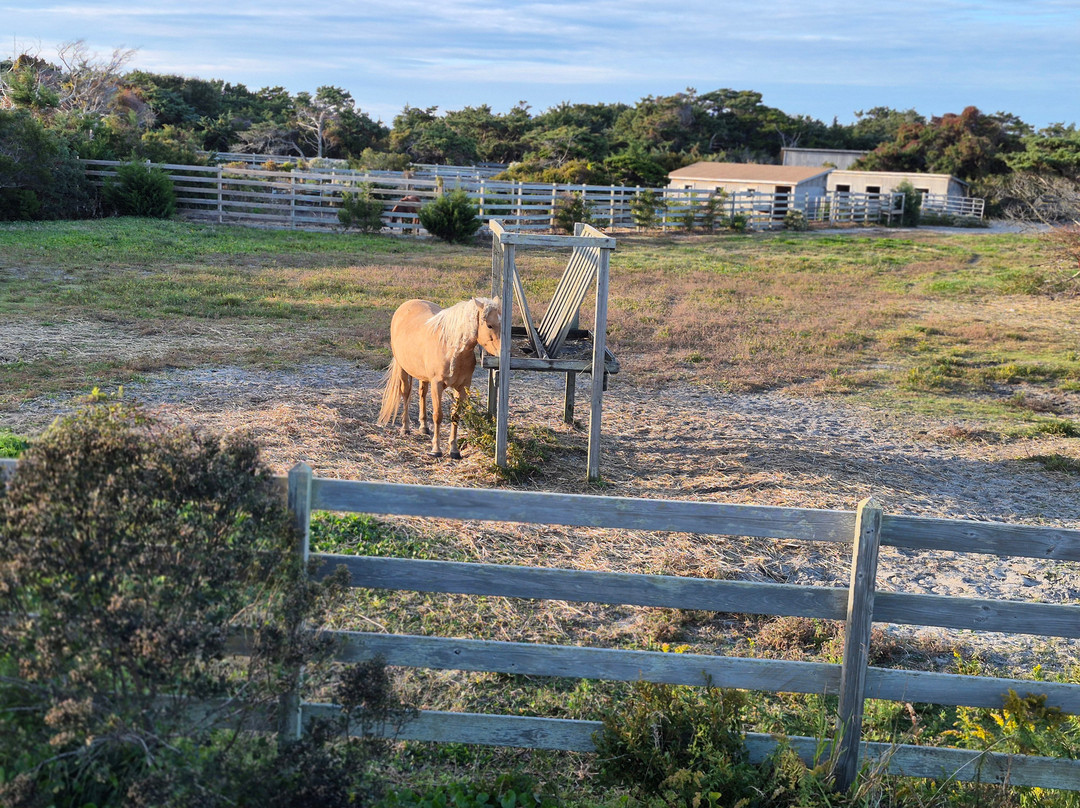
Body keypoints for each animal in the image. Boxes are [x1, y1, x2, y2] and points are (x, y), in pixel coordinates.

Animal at [377, 297, 502, 459]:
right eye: (489, 325)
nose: (502, 353)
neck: (451, 348)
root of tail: (407, 303)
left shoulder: (463, 387)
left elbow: (456, 415)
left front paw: (454, 450)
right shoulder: (437, 385)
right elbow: (438, 415)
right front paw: (436, 449)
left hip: (423, 376)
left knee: (422, 393)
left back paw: (424, 427)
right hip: (403, 369)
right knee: (406, 394)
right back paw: (405, 428)